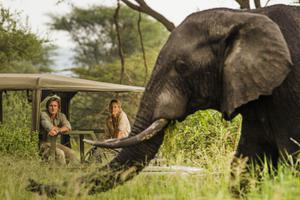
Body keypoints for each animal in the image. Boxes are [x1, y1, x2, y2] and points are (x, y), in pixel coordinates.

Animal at [27, 3, 300, 196]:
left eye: (181, 66)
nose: (30, 184)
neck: (245, 16)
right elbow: (248, 162)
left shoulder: (290, 88)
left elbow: (290, 155)